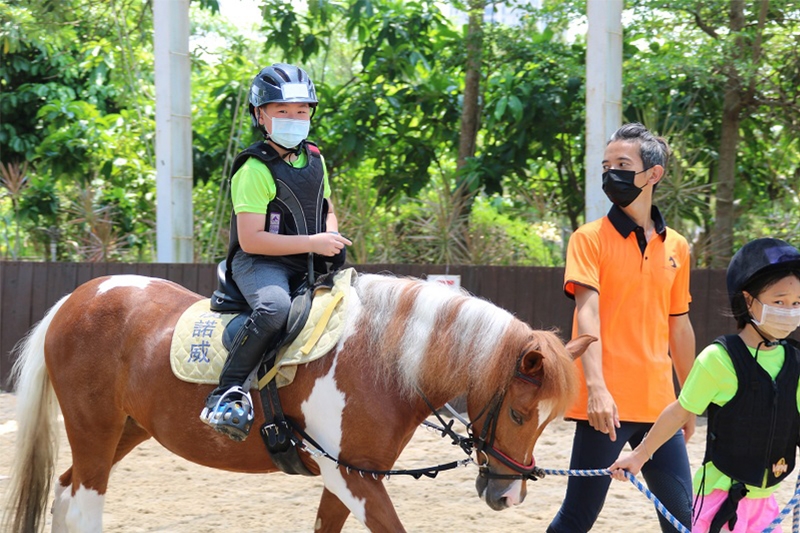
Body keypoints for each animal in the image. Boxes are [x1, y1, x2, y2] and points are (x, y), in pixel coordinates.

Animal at [3, 272, 592, 528]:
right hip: (95, 430)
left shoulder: (351, 476)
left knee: (65, 491)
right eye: (518, 412)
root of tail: (79, 295)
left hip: (125, 430)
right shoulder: (352, 477)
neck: (379, 358)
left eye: (546, 424)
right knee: (83, 503)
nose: (508, 496)